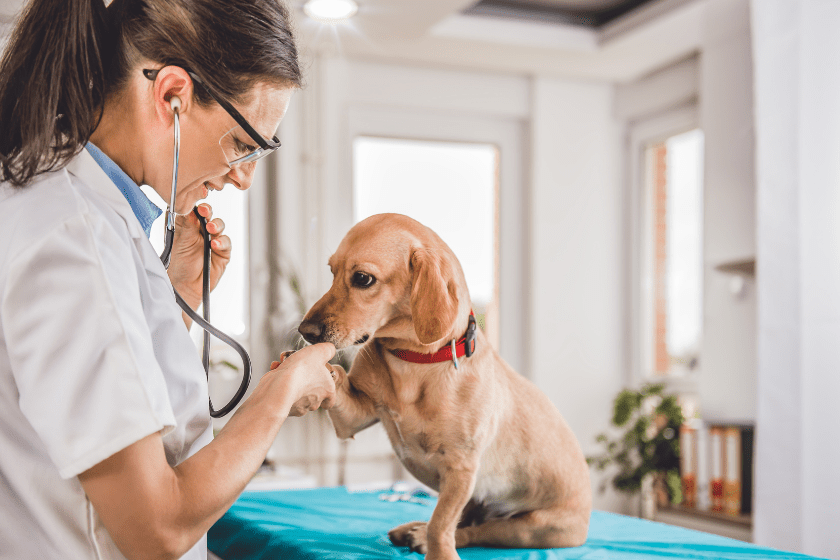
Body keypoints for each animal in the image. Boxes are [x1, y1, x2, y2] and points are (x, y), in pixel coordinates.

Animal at [296, 213, 592, 560]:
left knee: (475, 530)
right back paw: (413, 529)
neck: (413, 362)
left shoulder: (460, 468)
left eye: (363, 278)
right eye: (332, 271)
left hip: (532, 528)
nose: (305, 331)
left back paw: (423, 536)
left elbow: (441, 525)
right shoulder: (353, 419)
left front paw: (436, 549)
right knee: (463, 523)